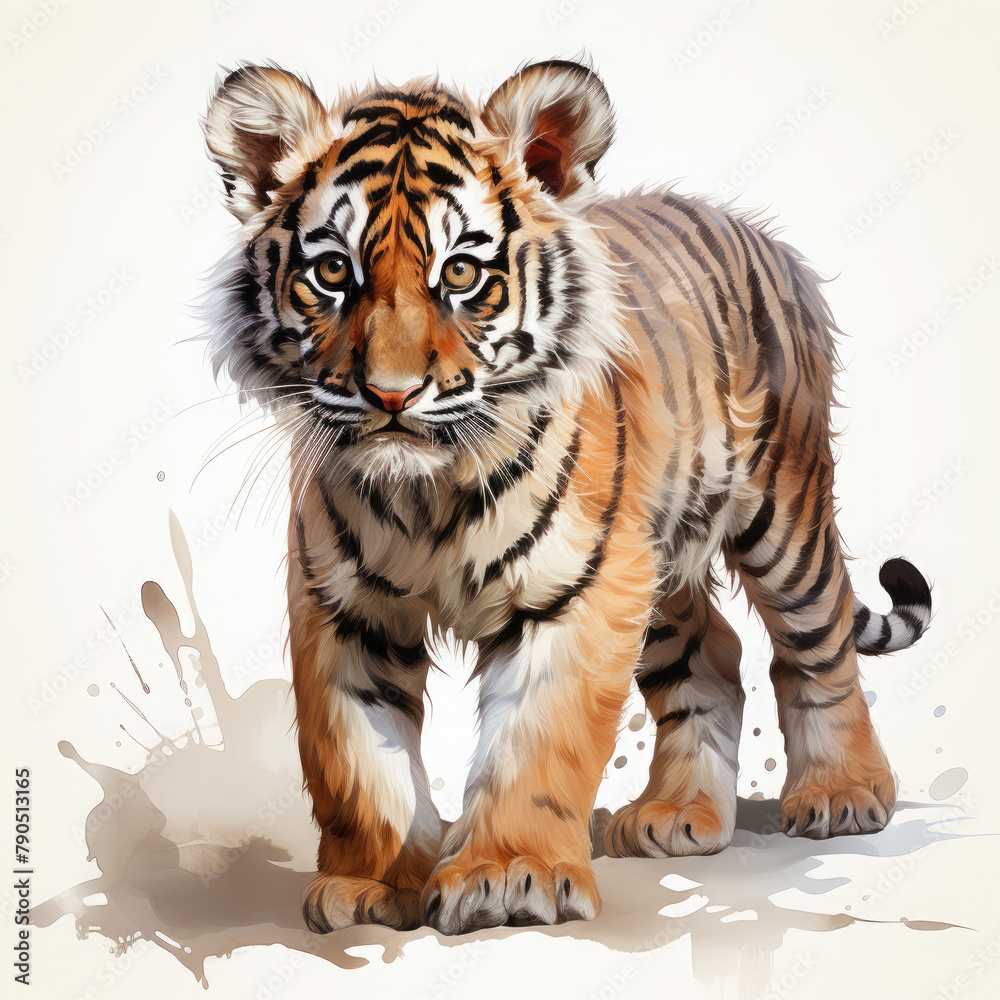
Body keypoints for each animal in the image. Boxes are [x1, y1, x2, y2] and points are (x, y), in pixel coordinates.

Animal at [202, 58, 932, 935]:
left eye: (461, 273)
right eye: (333, 271)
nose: (391, 394)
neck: (428, 489)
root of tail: (754, 229)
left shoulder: (571, 593)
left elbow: (536, 741)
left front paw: (508, 877)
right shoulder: (343, 608)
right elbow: (355, 757)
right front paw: (372, 886)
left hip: (779, 515)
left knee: (818, 644)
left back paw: (844, 793)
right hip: (653, 565)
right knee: (715, 658)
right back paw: (678, 817)